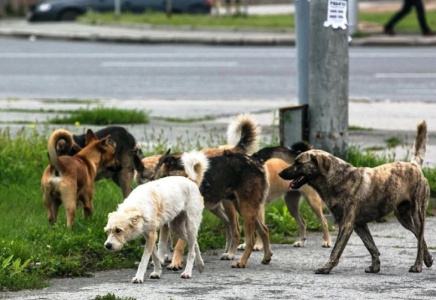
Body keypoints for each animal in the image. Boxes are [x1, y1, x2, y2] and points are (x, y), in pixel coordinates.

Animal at [104, 151, 209, 282]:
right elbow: (155, 256)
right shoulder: (150, 236)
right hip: (176, 228)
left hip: (190, 225)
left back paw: (187, 272)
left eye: (118, 230)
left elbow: (144, 259)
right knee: (194, 243)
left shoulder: (152, 236)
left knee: (191, 251)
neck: (137, 206)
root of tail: (191, 181)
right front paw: (157, 272)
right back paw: (200, 264)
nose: (107, 246)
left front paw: (139, 277)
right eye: (108, 231)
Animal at [280, 120, 432, 274]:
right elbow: (371, 246)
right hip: (403, 217)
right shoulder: (359, 225)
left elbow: (336, 250)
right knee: (419, 236)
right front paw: (375, 266)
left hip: (417, 213)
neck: (336, 178)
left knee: (420, 238)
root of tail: (414, 165)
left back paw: (418, 265)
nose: (280, 173)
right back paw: (428, 258)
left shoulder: (346, 225)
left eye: (298, 163)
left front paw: (326, 267)